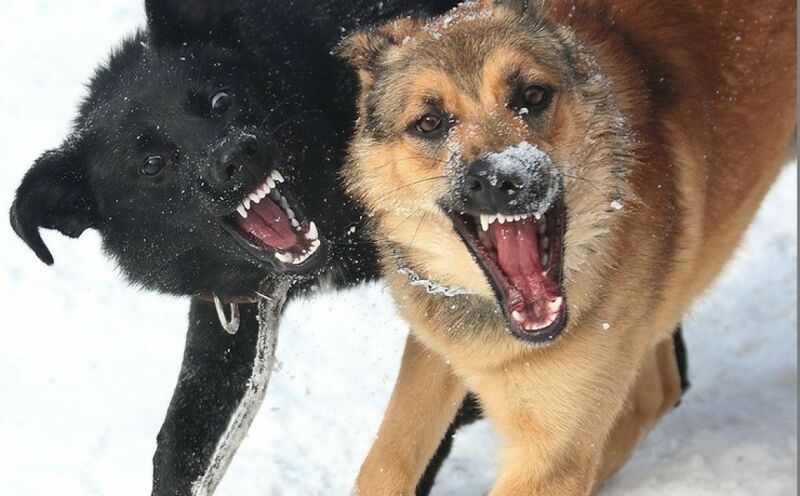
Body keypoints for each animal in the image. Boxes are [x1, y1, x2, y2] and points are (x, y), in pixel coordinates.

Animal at [340, 1, 796, 494]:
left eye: (533, 94)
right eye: (430, 123)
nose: (501, 179)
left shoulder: (552, 452)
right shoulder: (436, 345)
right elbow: (385, 461)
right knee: (659, 390)